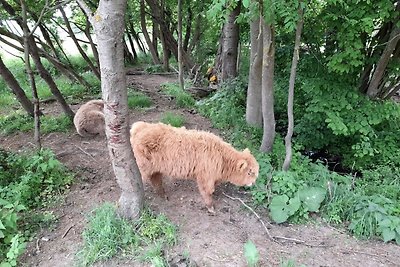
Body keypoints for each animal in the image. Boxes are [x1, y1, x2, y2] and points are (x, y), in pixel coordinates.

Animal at [130, 121, 260, 214]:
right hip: (142, 167)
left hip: (155, 169)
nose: (253, 182)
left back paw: (163, 195)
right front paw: (210, 207)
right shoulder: (205, 177)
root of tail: (139, 127)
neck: (222, 158)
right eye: (250, 172)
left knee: (156, 180)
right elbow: (207, 191)